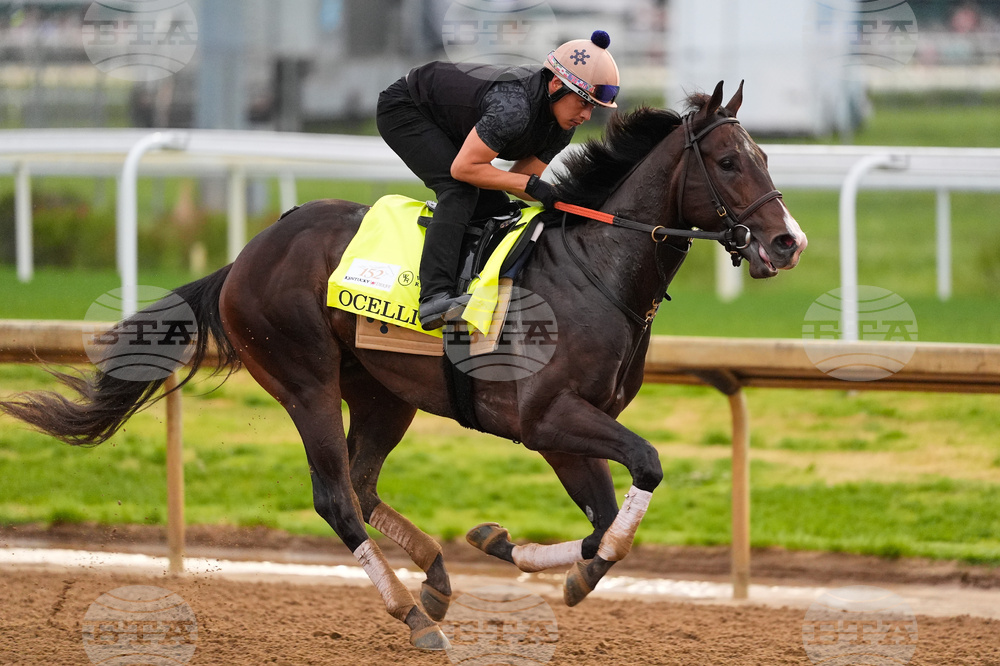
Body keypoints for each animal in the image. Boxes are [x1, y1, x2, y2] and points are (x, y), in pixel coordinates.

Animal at [1, 81, 806, 650]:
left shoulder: (567, 429)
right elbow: (645, 471)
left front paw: (510, 546)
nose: (788, 242)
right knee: (334, 496)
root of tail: (246, 256)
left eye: (766, 158)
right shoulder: (549, 417)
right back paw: (411, 614)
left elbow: (605, 520)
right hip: (305, 380)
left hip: (385, 392)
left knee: (361, 483)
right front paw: (557, 566)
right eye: (730, 162)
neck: (593, 269)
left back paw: (438, 581)